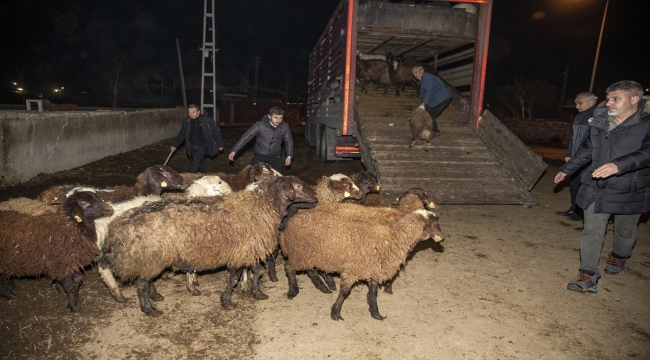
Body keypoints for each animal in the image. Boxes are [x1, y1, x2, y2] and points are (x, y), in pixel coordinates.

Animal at [100, 176, 318, 316]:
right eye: (298, 186)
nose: (316, 198)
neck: (263, 204)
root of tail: (118, 227)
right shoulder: (242, 251)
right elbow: (234, 277)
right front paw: (227, 301)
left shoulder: (249, 248)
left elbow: (256, 272)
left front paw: (257, 293)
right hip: (151, 256)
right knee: (142, 285)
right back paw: (150, 309)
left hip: (150, 259)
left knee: (147, 282)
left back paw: (154, 299)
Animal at [280, 205, 442, 320]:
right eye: (435, 224)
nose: (443, 238)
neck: (391, 238)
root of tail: (293, 219)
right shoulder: (352, 270)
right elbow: (345, 292)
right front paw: (336, 312)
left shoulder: (373, 270)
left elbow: (373, 293)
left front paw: (376, 313)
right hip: (299, 253)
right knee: (289, 268)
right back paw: (293, 291)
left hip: (309, 255)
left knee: (310, 270)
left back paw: (322, 287)